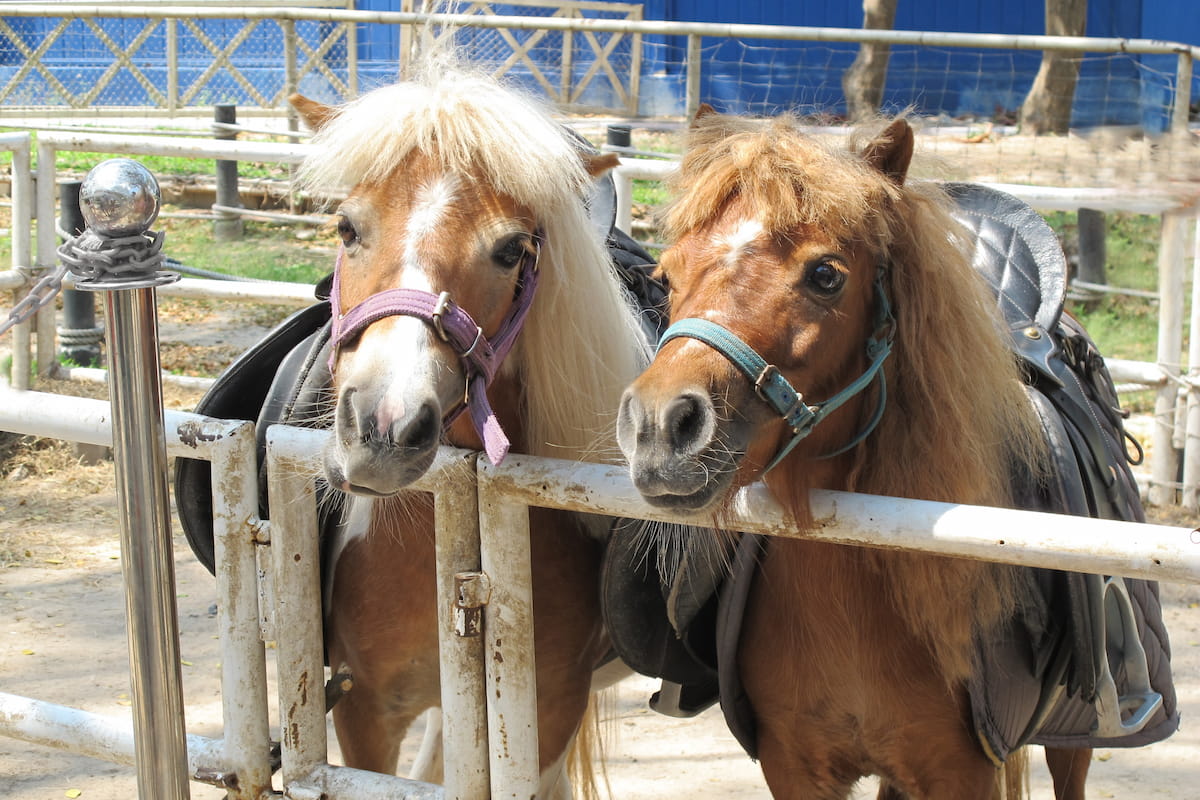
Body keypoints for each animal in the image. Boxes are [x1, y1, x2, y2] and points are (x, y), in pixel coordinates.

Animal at [614, 108, 1175, 799]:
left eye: (826, 275)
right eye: (664, 277)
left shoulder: (963, 772)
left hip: (1078, 738)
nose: (661, 427)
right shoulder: (795, 767)